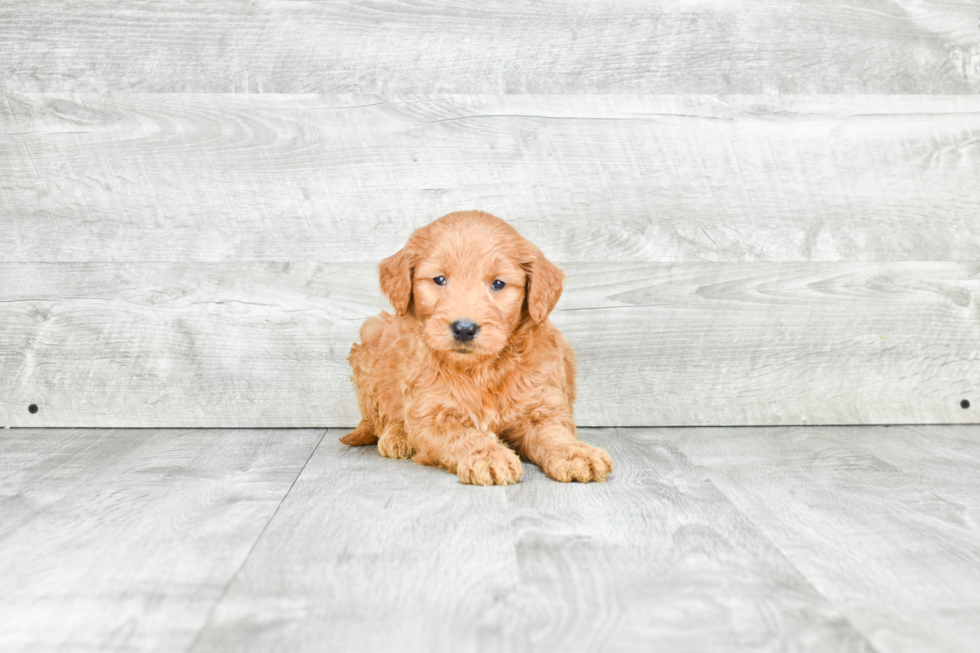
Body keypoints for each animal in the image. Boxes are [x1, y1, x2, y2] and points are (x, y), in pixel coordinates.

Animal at [338, 209, 612, 484]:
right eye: (439, 279)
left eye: (498, 284)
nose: (464, 329)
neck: (481, 370)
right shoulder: (434, 415)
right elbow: (465, 437)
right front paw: (490, 456)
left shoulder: (541, 406)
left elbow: (555, 433)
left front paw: (577, 453)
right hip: (370, 342)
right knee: (381, 418)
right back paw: (398, 436)